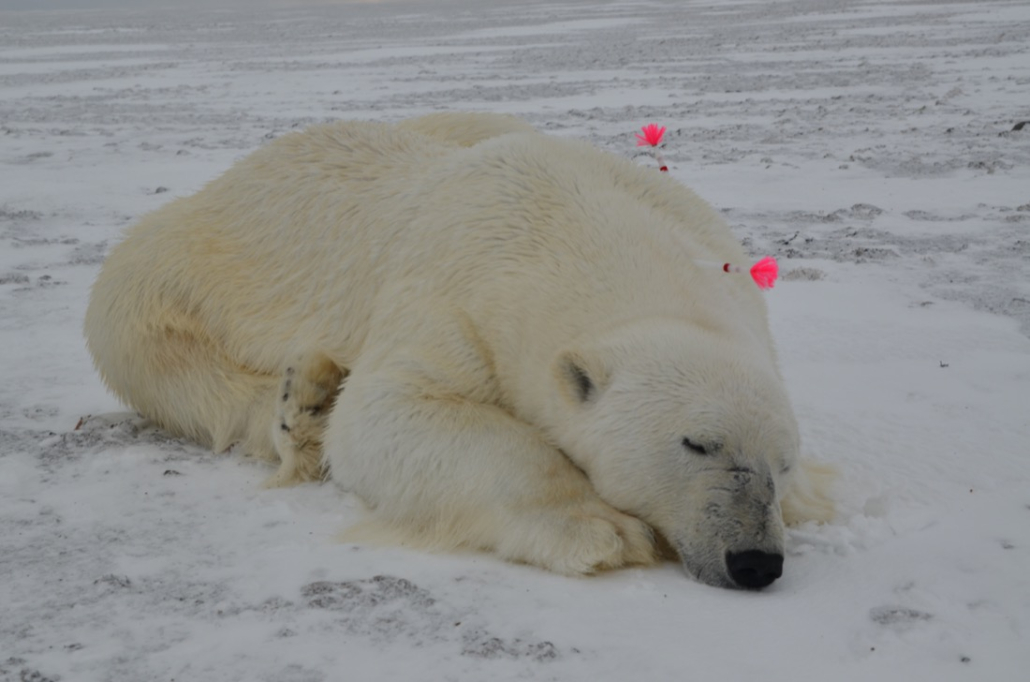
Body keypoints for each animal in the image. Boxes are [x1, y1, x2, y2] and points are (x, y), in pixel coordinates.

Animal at [84, 112, 833, 589]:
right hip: (170, 272)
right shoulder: (453, 292)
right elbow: (389, 412)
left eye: (783, 463)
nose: (755, 561)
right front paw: (600, 529)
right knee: (173, 360)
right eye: (697, 443)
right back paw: (308, 404)